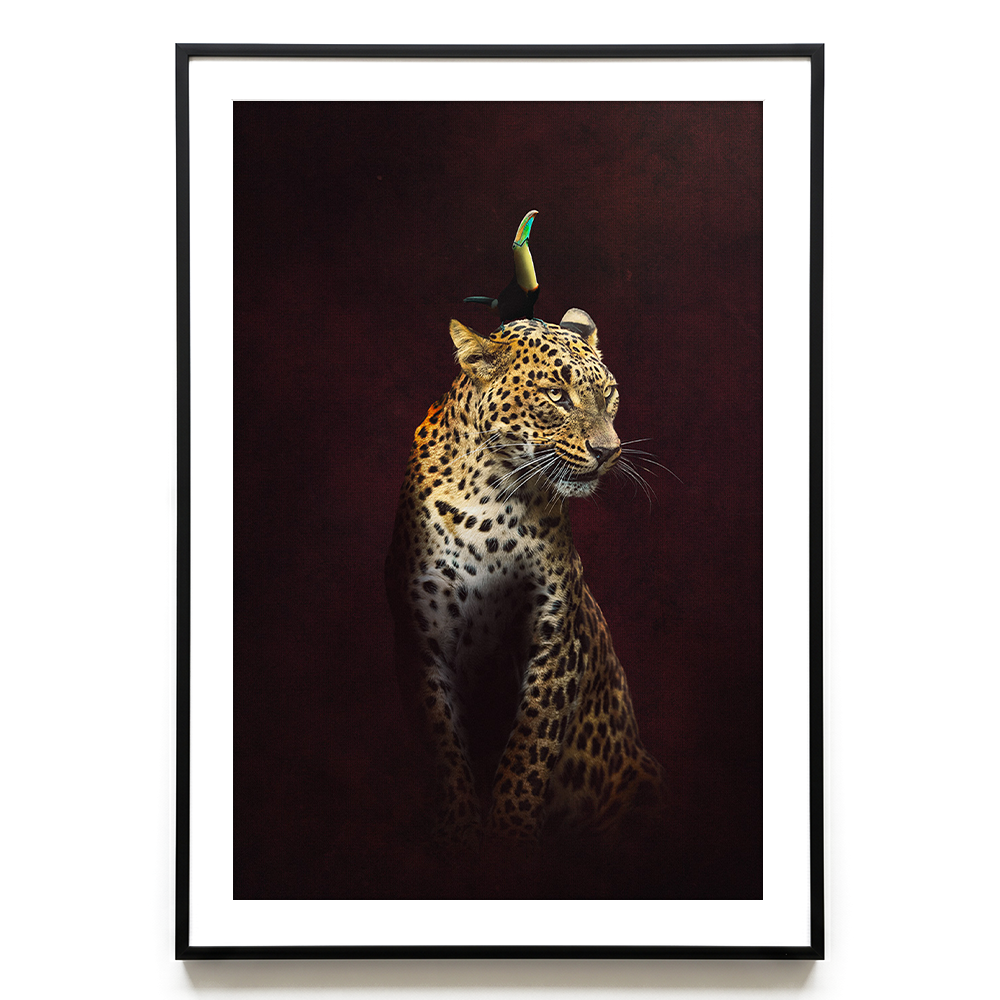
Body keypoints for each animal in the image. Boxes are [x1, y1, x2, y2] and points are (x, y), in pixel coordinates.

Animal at [385, 308, 665, 853]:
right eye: (557, 395)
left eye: (610, 394)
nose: (610, 451)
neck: (491, 502)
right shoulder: (423, 638)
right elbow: (446, 744)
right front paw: (460, 833)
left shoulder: (555, 635)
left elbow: (529, 746)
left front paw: (510, 837)